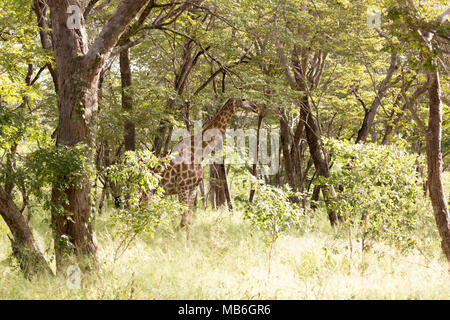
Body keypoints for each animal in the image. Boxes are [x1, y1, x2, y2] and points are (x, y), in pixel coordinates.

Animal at [156, 97, 258, 240]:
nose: (256, 107)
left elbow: (187, 219)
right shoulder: (182, 186)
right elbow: (185, 218)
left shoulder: (193, 188)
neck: (199, 153)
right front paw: (173, 239)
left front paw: (184, 242)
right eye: (243, 99)